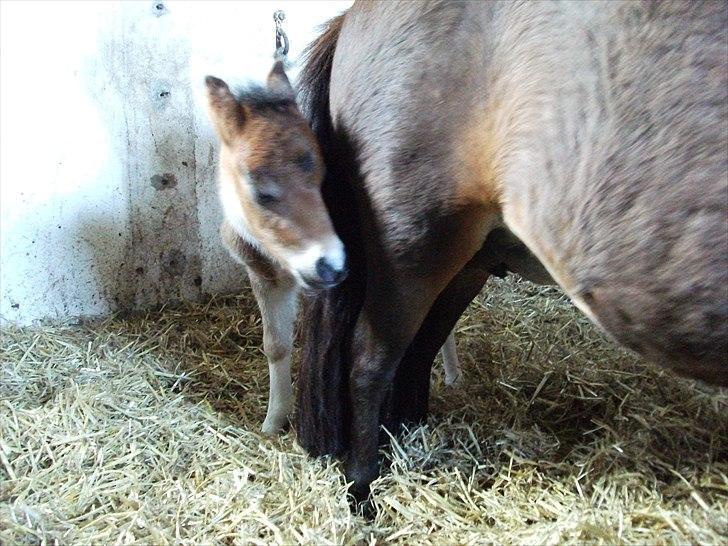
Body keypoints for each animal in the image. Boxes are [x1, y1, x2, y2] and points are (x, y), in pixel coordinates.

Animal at [202, 61, 458, 432]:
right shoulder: (263, 273)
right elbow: (275, 345)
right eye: (261, 192)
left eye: (324, 174)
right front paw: (273, 421)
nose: (330, 265)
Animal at [294, 1, 728, 498]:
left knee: (419, 350)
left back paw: (406, 434)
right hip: (410, 249)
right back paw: (362, 488)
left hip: (466, 262)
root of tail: (350, 18)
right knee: (370, 361)